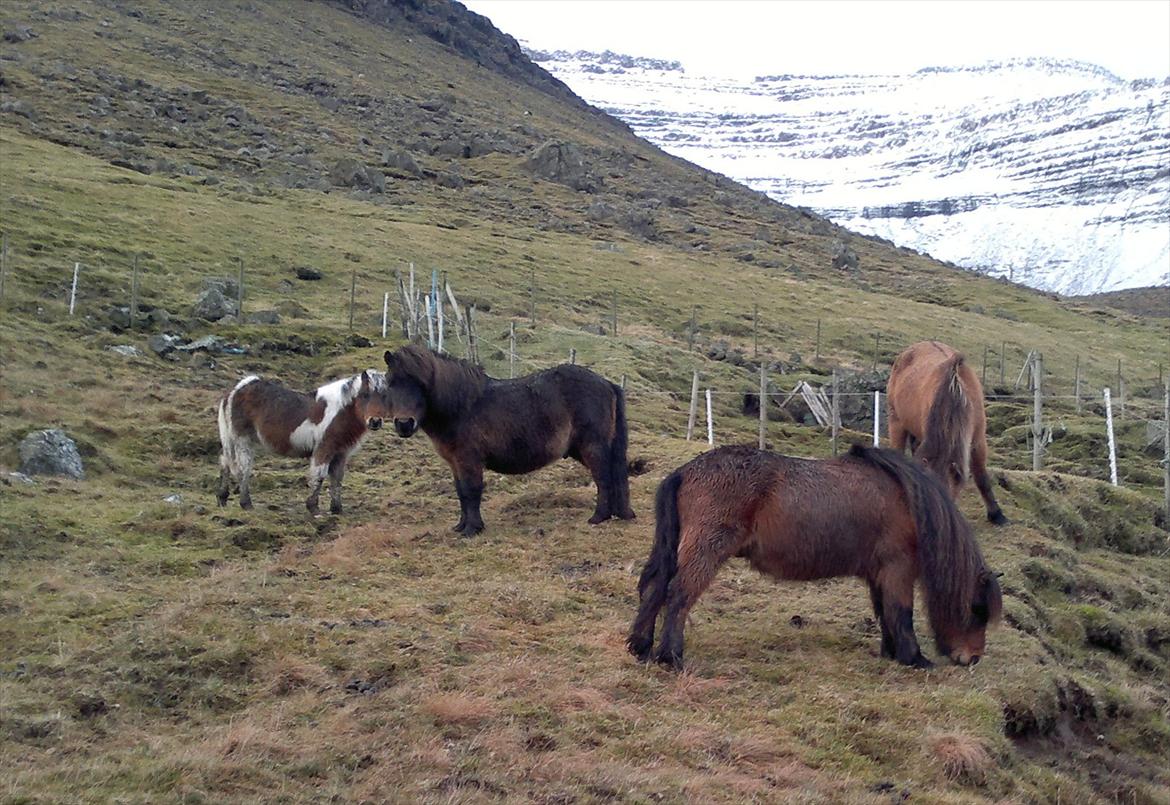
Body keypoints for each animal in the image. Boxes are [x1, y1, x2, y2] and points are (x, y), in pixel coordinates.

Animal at [215, 367, 388, 512]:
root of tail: (237, 390)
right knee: (243, 467)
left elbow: (337, 478)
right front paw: (313, 507)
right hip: (242, 440)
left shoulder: (341, 453)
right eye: (365, 395)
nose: (375, 421)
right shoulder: (324, 449)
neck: (340, 412)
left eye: (384, 397)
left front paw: (336, 509)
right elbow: (320, 476)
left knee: (225, 462)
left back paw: (222, 498)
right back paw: (246, 503)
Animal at [381, 343, 636, 538]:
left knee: (603, 477)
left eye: (421, 384)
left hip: (592, 447)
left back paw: (599, 517)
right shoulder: (455, 463)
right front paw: (461, 526)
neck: (462, 407)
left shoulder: (469, 460)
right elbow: (461, 492)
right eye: (391, 382)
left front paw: (472, 529)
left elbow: (471, 491)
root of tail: (607, 383)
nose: (404, 424)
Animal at [627, 442, 1001, 669]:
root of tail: (684, 472)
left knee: (655, 589)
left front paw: (891, 652)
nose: (974, 658)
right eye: (977, 610)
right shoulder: (898, 568)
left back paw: (641, 646)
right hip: (705, 551)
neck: (910, 502)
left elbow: (885, 613)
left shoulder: (878, 573)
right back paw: (670, 655)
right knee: (679, 595)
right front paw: (914, 658)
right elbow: (901, 613)